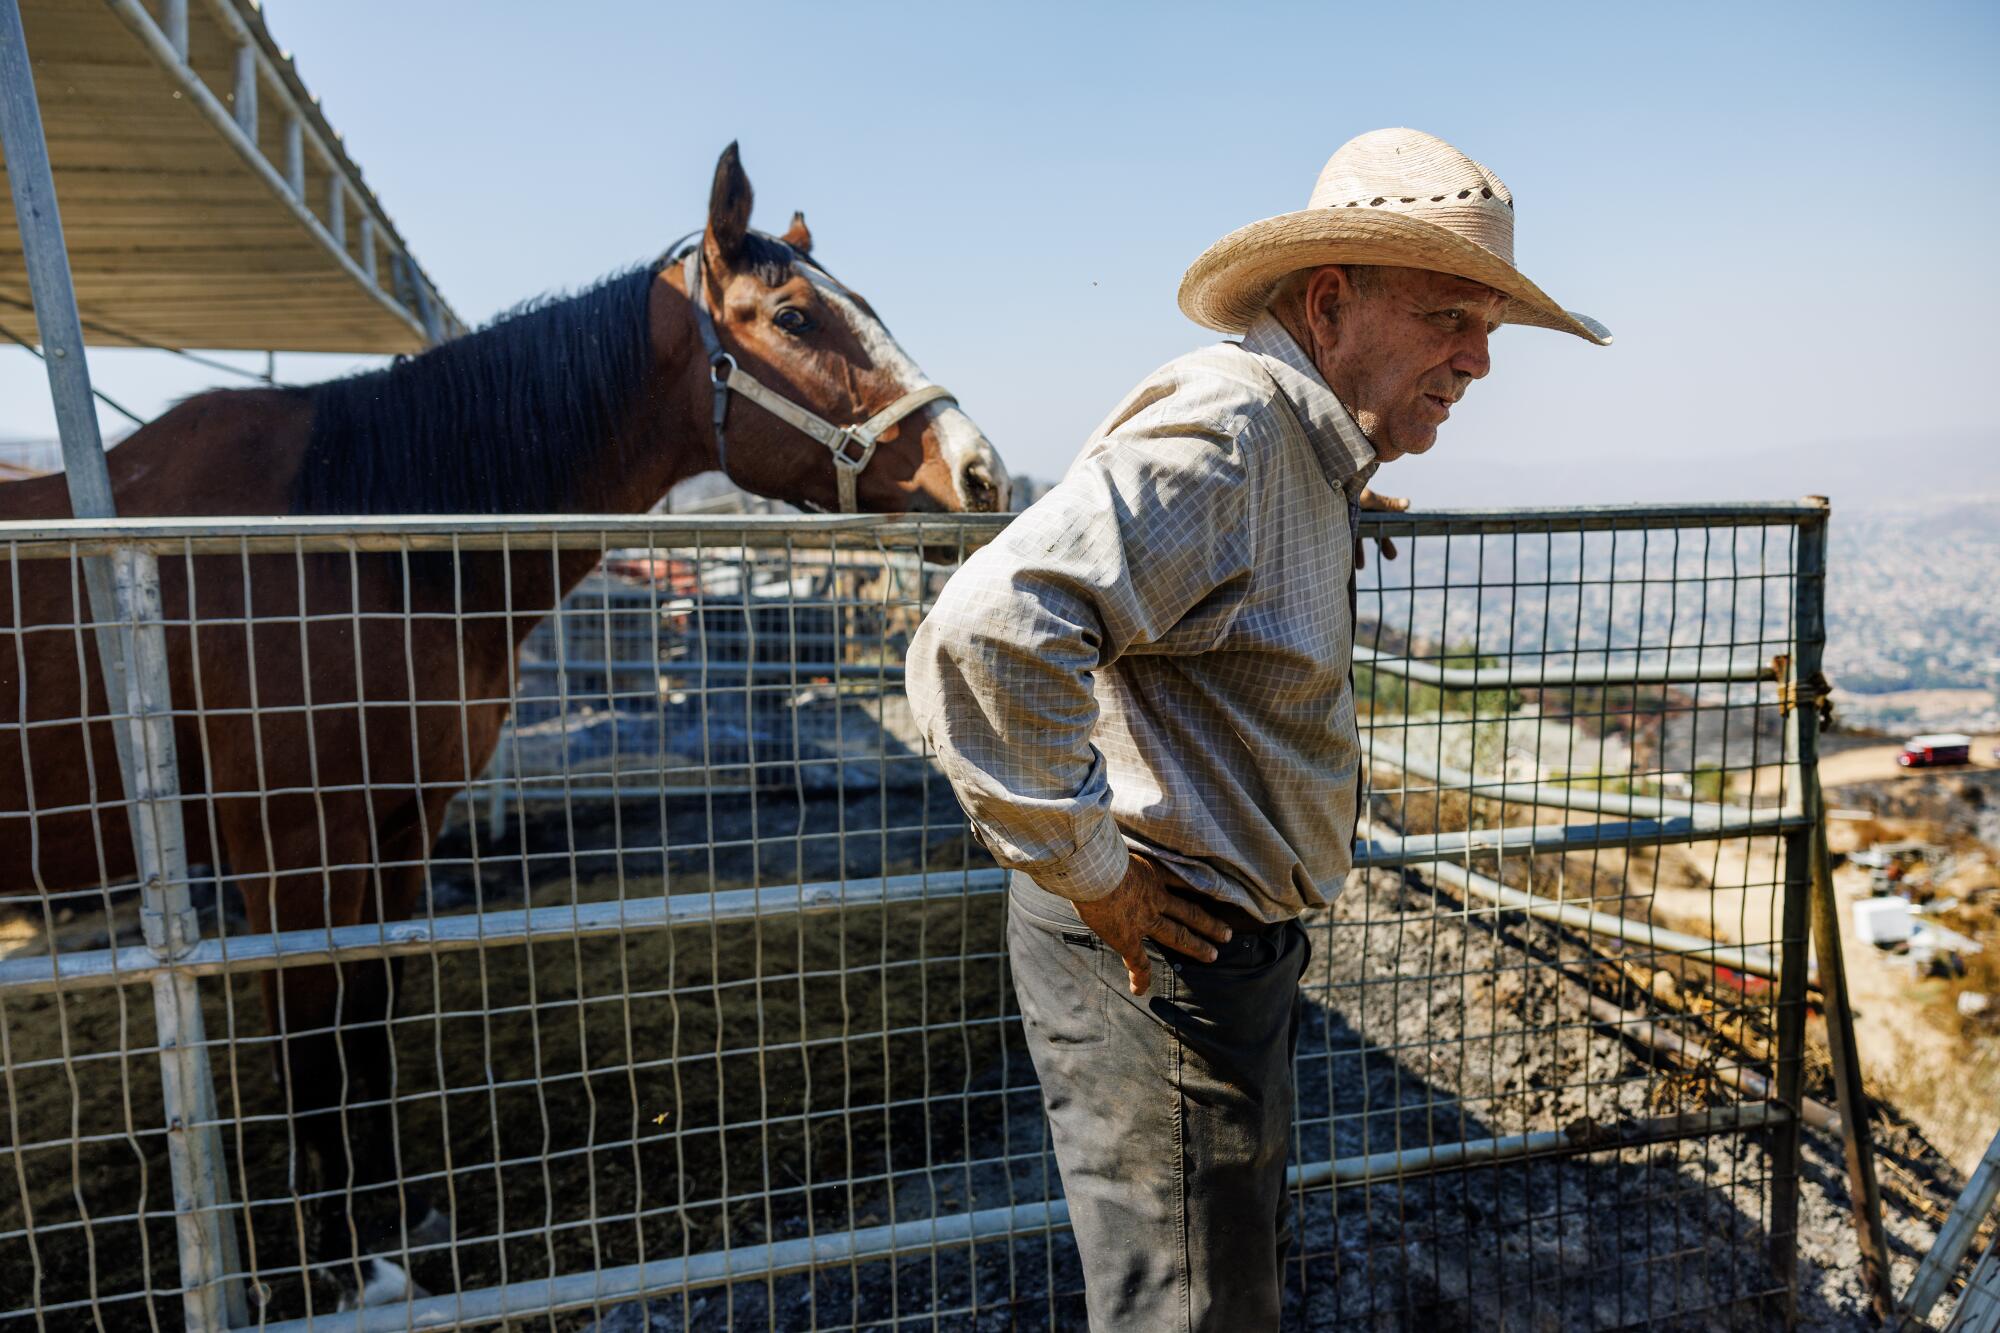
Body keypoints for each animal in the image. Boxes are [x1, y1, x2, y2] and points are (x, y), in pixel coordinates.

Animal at [0, 143, 1000, 1296]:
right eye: (794, 316)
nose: (979, 473)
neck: (354, 546)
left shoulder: (398, 833)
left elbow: (368, 1027)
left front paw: (397, 1224)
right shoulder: (294, 854)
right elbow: (313, 1047)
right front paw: (348, 1270)